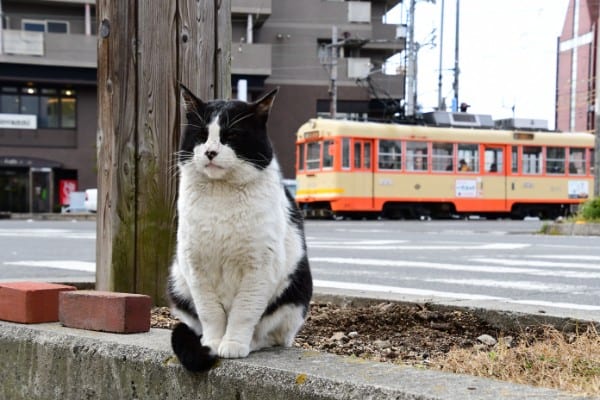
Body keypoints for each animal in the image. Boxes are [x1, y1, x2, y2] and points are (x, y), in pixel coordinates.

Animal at [166, 84, 312, 372]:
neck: (221, 197)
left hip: (297, 292)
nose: (210, 152)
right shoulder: (195, 264)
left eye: (231, 135)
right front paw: (212, 343)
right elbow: (210, 312)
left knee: (272, 335)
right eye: (202, 135)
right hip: (177, 282)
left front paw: (233, 344)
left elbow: (244, 312)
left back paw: (252, 343)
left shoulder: (260, 267)